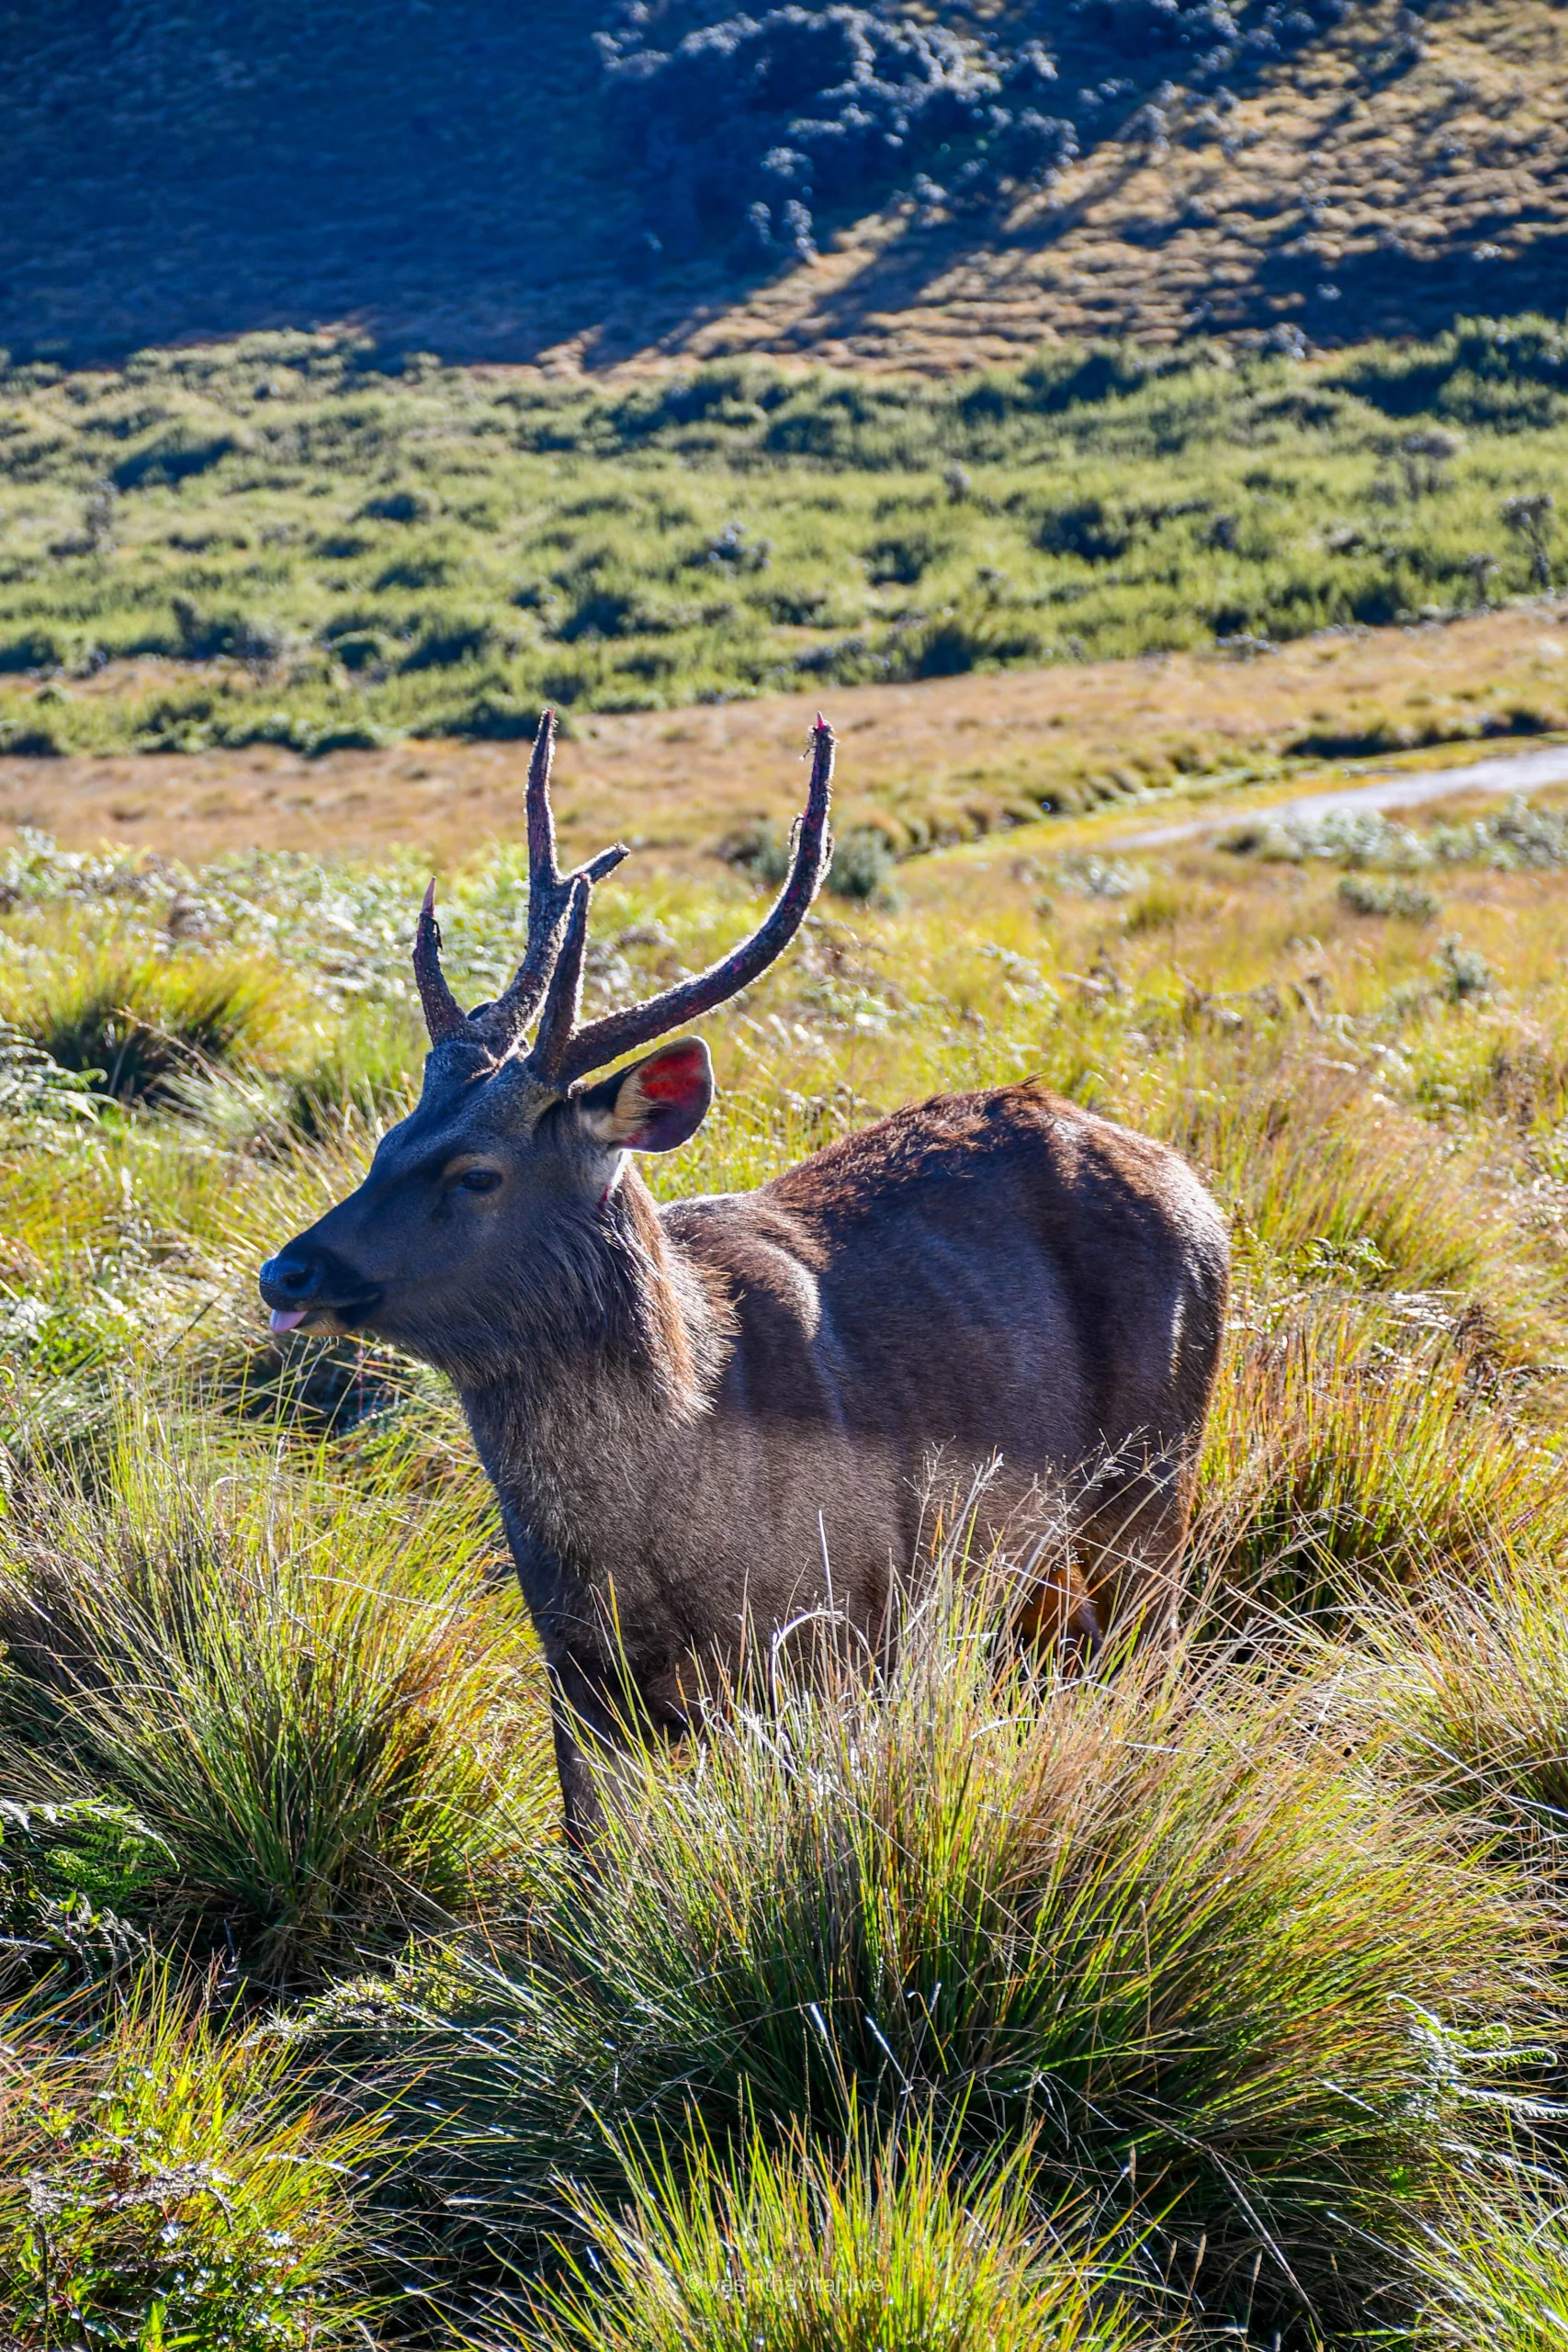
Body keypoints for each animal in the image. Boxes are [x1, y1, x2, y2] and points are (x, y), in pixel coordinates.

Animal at [260, 713, 1229, 1843]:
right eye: (383, 1143)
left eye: (476, 1173)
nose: (288, 1270)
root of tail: (1199, 1190)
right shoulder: (572, 1669)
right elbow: (587, 1851)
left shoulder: (834, 1629)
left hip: (1154, 1483)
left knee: (1152, 1667)